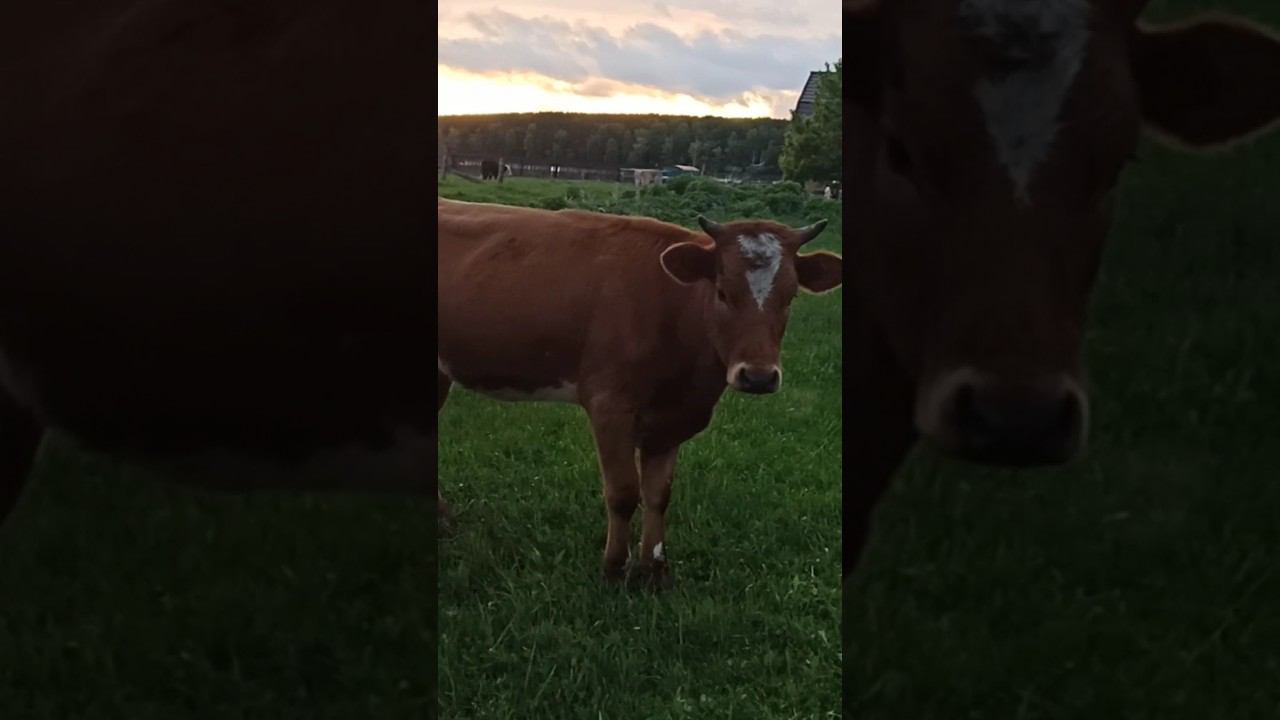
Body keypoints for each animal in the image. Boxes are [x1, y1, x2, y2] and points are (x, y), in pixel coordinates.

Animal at [437, 199, 843, 588]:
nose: (758, 377)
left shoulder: (670, 420)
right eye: (722, 291)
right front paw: (615, 567)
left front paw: (654, 568)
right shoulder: (609, 406)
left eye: (790, 296)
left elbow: (658, 494)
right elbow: (623, 493)